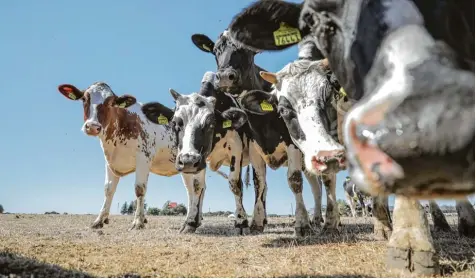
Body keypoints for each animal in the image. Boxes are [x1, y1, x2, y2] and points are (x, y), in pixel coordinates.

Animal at [57, 81, 206, 232]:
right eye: (84, 99)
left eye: (111, 103)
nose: (92, 126)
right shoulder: (110, 162)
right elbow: (108, 189)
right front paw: (99, 220)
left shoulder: (143, 158)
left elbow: (139, 189)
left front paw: (138, 222)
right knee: (193, 190)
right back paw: (195, 220)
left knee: (197, 188)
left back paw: (190, 222)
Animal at [225, 0, 474, 276]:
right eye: (284, 109)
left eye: (328, 95)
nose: (327, 156)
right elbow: (322, 180)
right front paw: (331, 223)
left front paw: (407, 239)